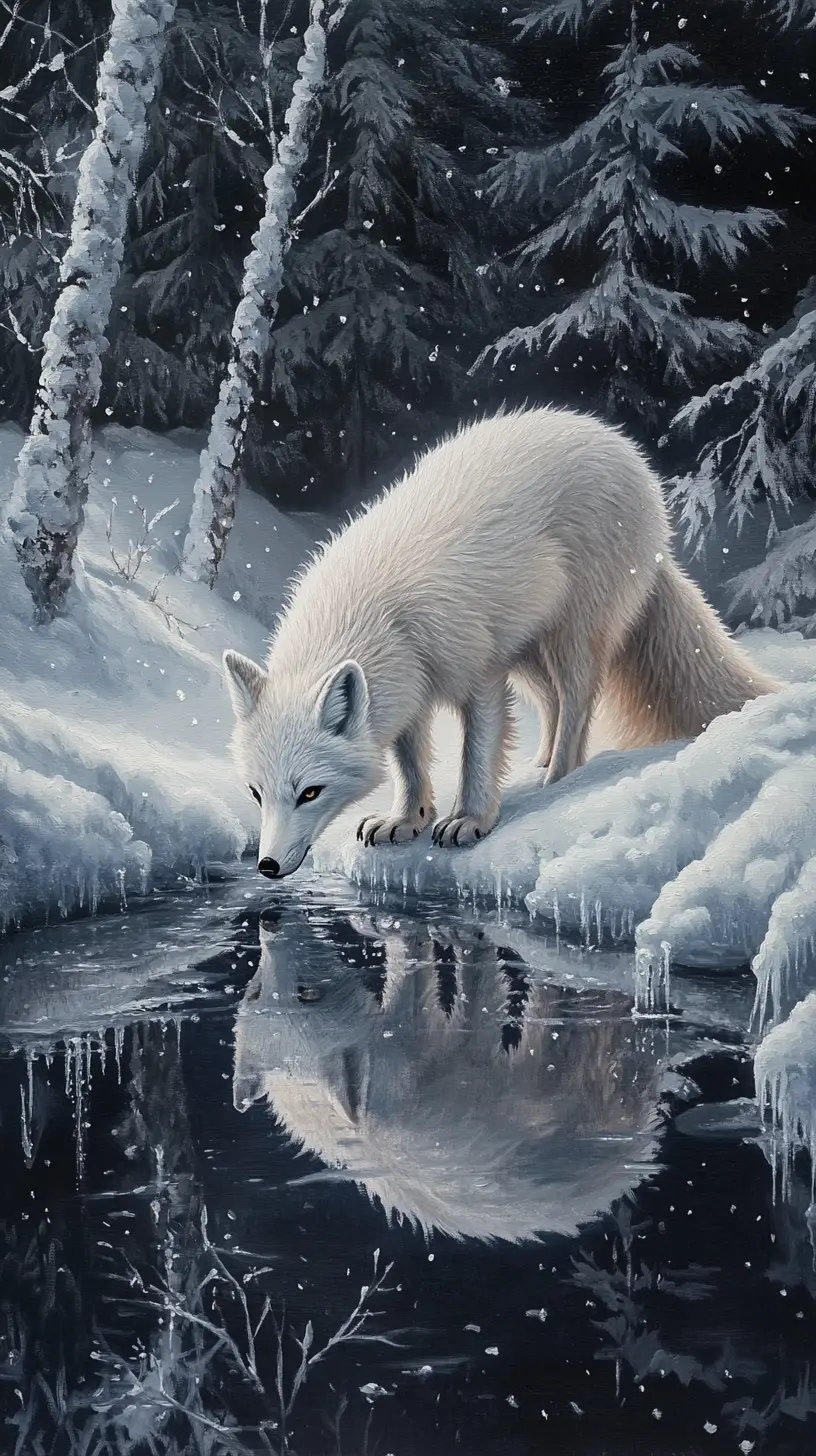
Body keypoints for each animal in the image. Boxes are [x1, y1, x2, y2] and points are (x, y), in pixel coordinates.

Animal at [223, 406, 779, 879]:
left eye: (310, 793)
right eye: (255, 793)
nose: (267, 866)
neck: (374, 615)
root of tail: (615, 441)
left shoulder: (479, 678)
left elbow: (476, 754)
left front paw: (469, 820)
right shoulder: (410, 691)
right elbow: (409, 762)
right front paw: (407, 819)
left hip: (572, 636)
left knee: (577, 706)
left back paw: (559, 781)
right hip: (528, 653)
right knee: (552, 704)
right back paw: (538, 766)